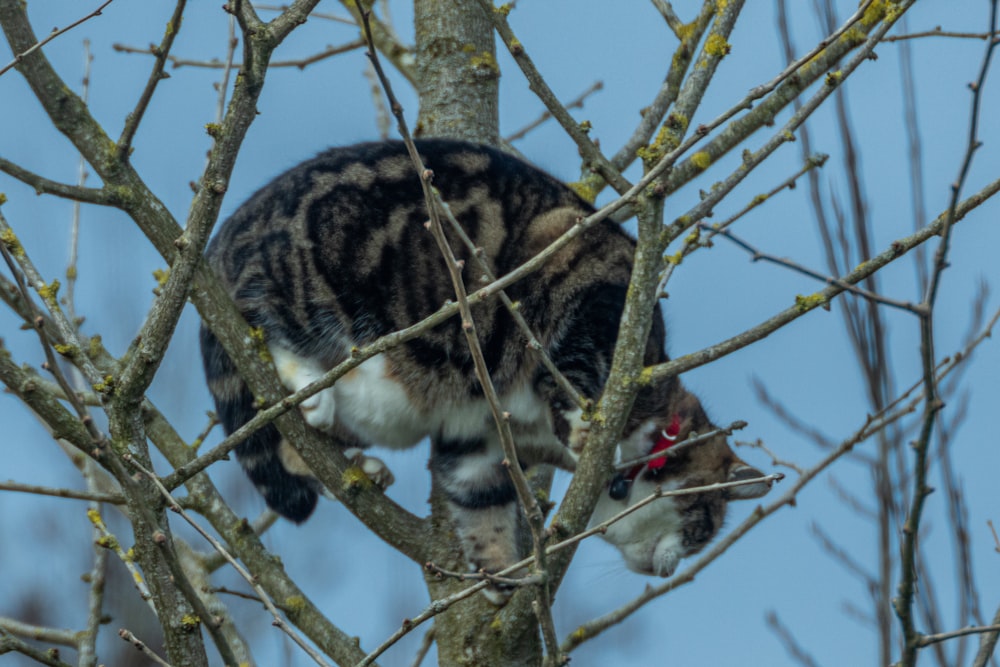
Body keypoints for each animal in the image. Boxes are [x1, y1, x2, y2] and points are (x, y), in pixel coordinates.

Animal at [199, 140, 768, 588]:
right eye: (703, 527)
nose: (672, 569)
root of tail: (215, 244)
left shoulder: (478, 438)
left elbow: (480, 506)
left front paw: (501, 578)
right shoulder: (589, 283)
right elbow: (573, 363)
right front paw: (583, 421)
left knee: (290, 445)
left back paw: (356, 464)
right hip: (313, 286)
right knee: (259, 327)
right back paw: (307, 385)